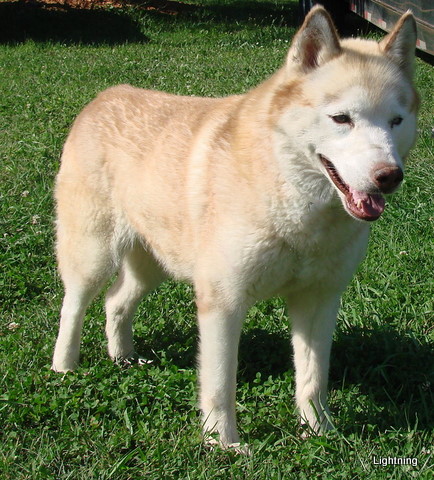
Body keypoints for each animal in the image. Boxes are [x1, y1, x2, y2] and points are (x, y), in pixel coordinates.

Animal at [50, 6, 418, 450]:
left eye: (396, 120)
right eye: (341, 118)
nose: (389, 176)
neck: (296, 204)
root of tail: (102, 97)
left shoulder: (319, 300)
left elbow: (313, 379)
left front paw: (319, 433)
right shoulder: (222, 300)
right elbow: (220, 383)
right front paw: (222, 442)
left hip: (153, 263)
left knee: (115, 302)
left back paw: (123, 358)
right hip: (93, 254)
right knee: (74, 306)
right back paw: (65, 368)